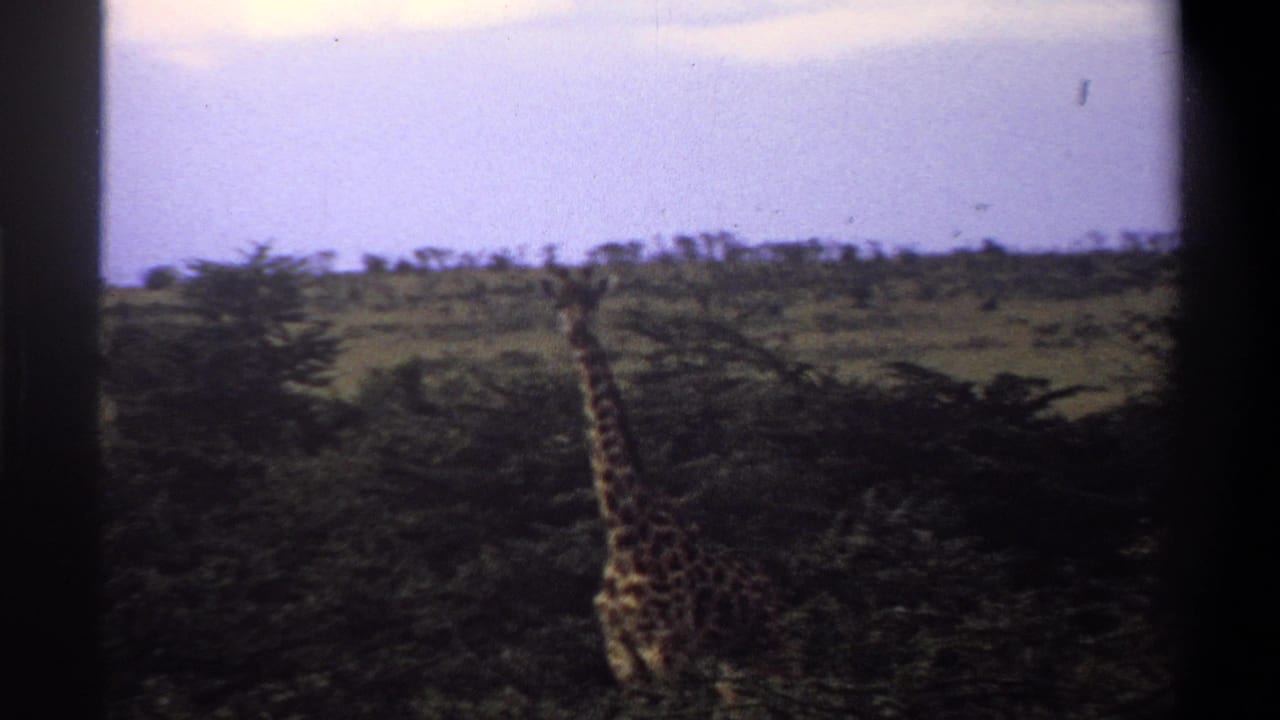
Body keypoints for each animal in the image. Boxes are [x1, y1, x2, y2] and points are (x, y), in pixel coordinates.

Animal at [542, 266, 791, 707]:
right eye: (559, 303)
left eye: (593, 301)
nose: (576, 329)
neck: (625, 530)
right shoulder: (622, 657)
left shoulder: (667, 651)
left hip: (762, 661)